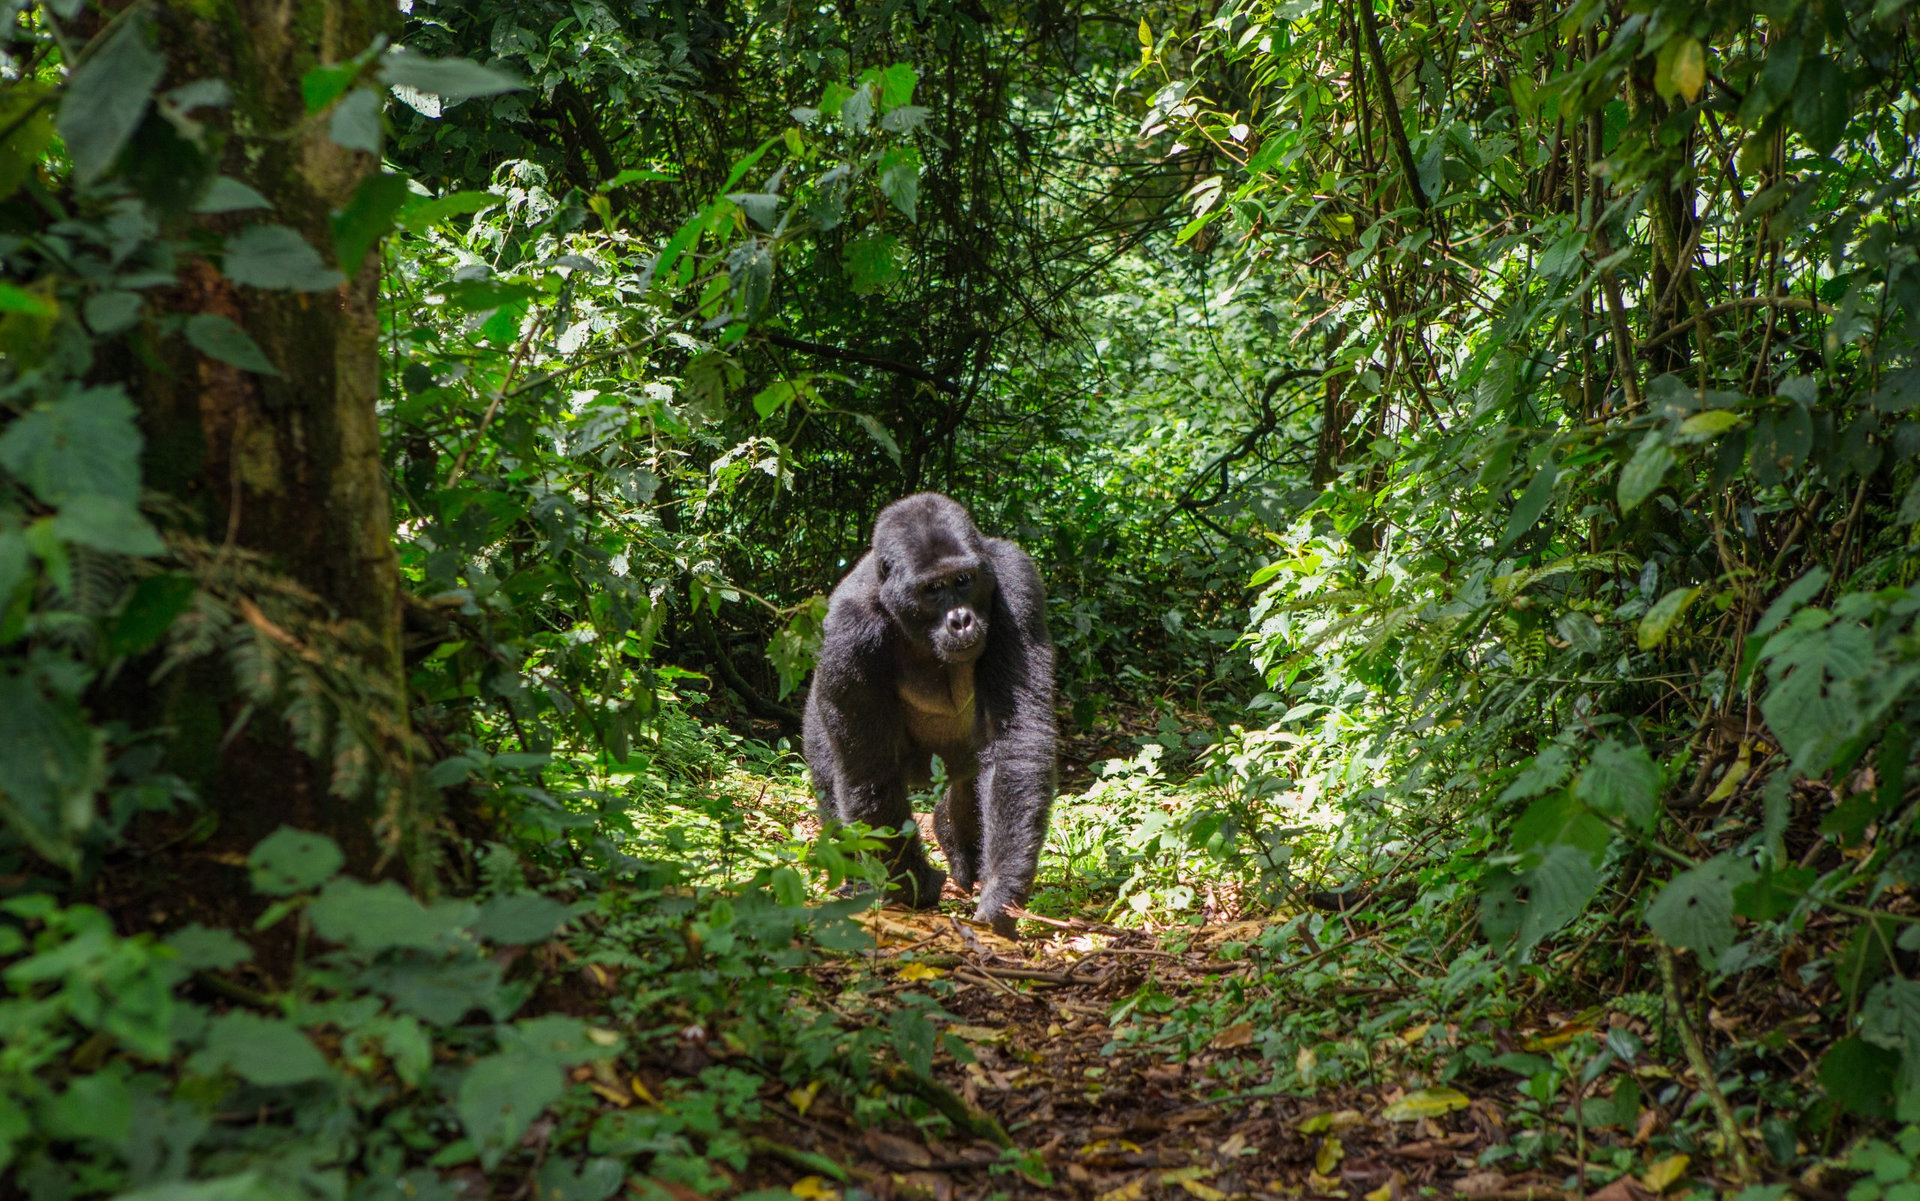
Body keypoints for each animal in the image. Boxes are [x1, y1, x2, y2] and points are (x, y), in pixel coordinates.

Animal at [803, 493, 1057, 937]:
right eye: (932, 589)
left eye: (963, 581)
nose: (961, 620)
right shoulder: (848, 632)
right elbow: (870, 771)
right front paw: (912, 886)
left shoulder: (1016, 580)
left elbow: (1016, 739)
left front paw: (1002, 890)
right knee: (832, 777)